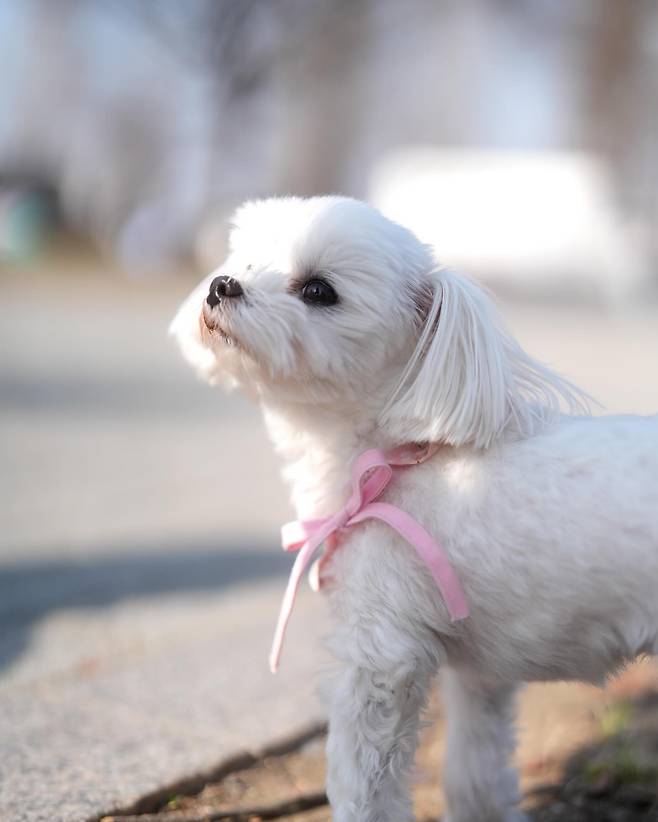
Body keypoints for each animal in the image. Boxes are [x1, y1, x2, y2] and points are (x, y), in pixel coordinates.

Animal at [171, 195, 658, 822]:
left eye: (319, 290)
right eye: (246, 258)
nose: (221, 284)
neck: (398, 459)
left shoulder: (382, 656)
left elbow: (362, 783)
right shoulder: (480, 675)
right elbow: (477, 771)